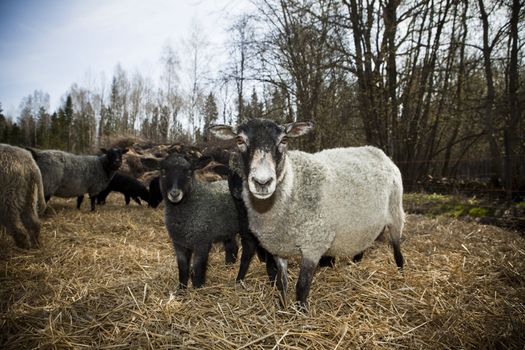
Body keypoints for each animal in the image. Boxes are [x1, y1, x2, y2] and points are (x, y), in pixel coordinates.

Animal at [210, 119, 406, 308]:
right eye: (239, 140)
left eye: (284, 140)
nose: (262, 182)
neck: (293, 184)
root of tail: (377, 151)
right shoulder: (278, 247)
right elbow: (282, 284)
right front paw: (283, 308)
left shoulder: (314, 245)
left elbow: (302, 287)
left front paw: (302, 312)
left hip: (396, 214)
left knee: (397, 251)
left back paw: (401, 274)